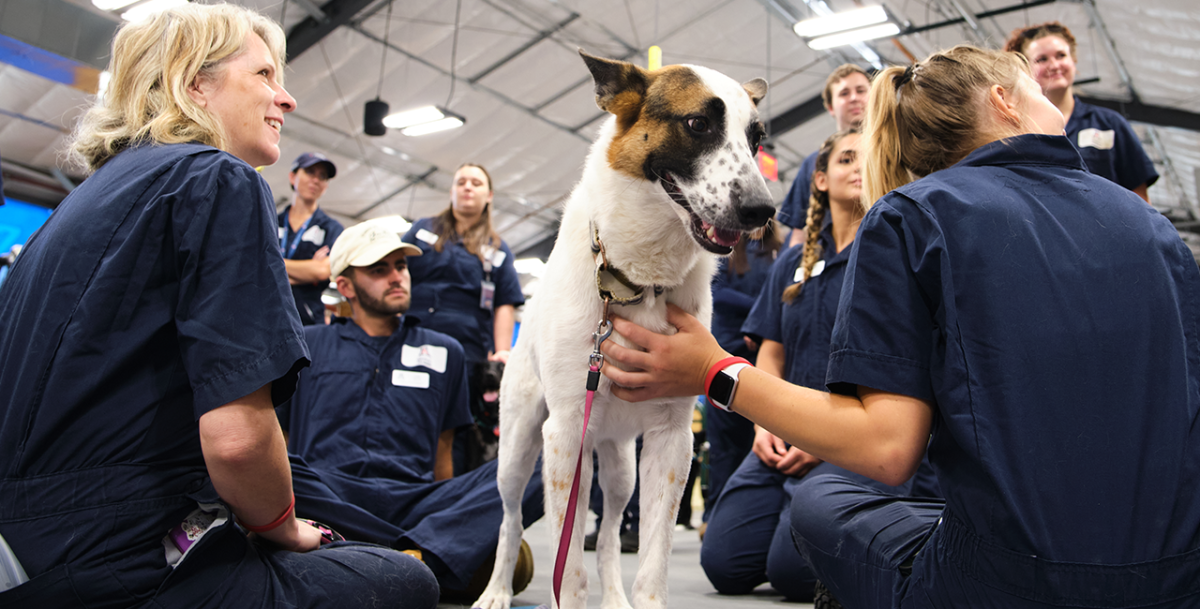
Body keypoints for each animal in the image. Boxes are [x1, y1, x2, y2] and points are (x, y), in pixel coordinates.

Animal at [472, 52, 772, 609]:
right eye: (697, 124)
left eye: (756, 139)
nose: (763, 212)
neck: (639, 280)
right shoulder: (565, 433)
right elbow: (567, 569)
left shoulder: (672, 441)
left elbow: (650, 564)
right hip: (519, 451)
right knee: (509, 520)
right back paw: (497, 590)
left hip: (619, 468)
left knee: (611, 531)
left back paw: (612, 593)